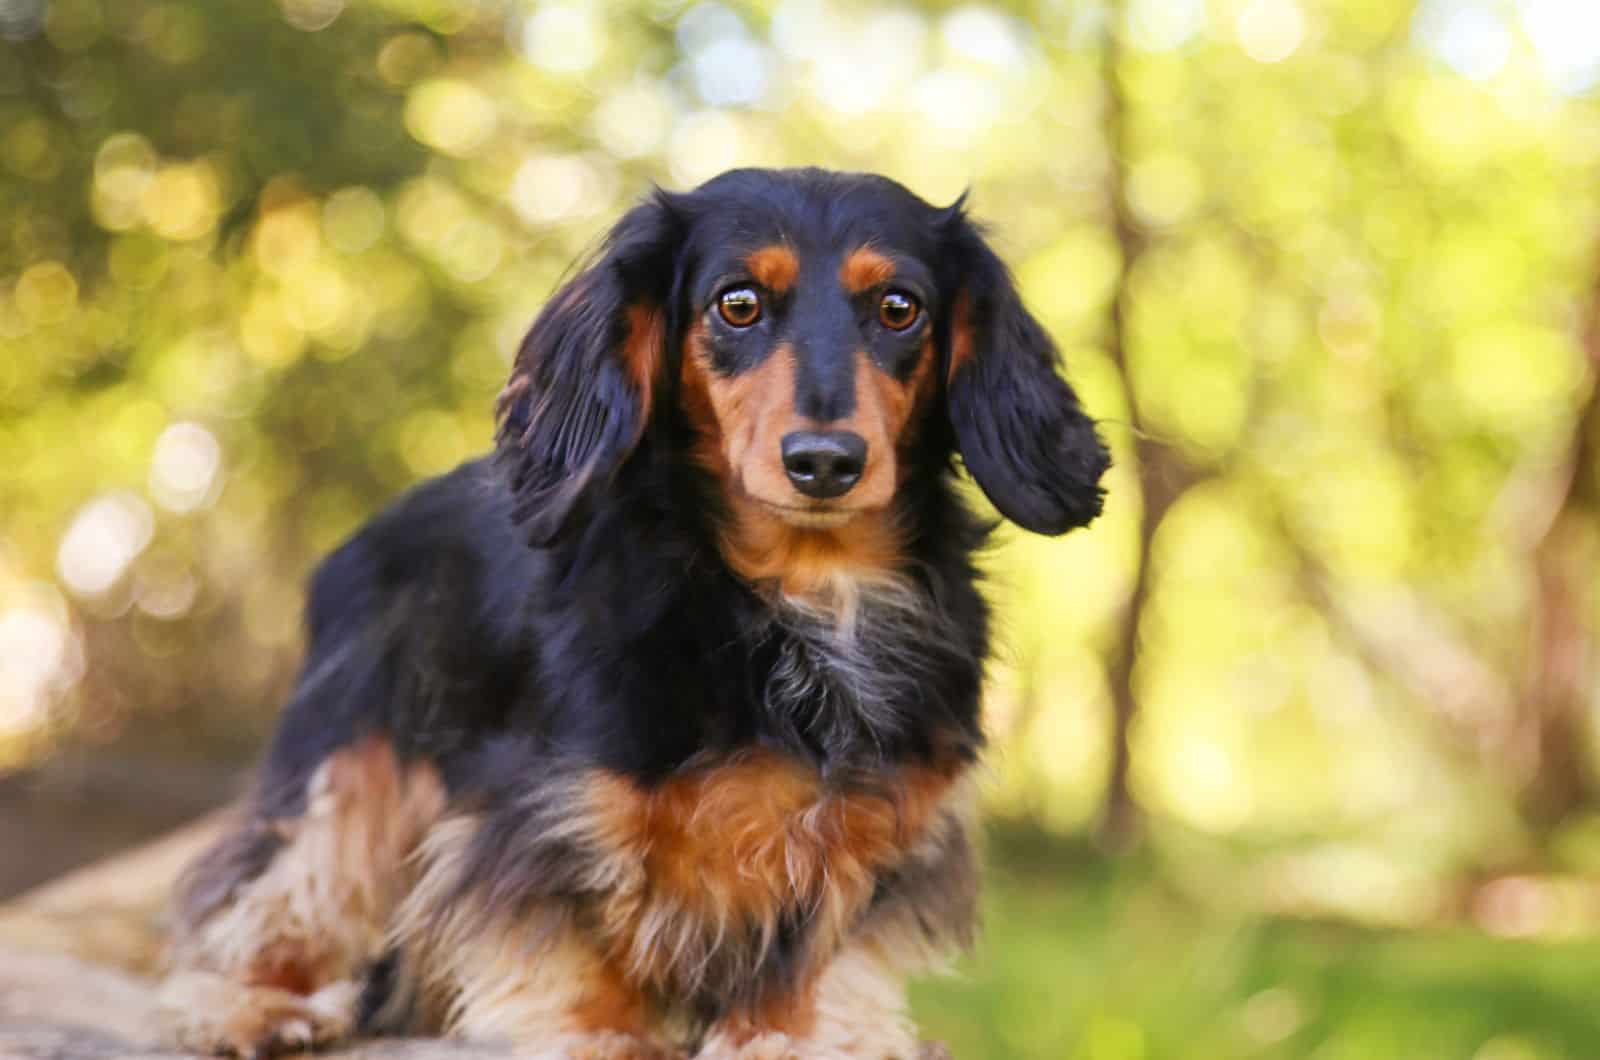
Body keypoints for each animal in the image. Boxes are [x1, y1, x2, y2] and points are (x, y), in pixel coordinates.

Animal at [165, 168, 1113, 1060]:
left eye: (898, 308)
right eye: (738, 304)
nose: (825, 461)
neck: (804, 592)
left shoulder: (883, 820)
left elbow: (821, 946)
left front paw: (788, 1035)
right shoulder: (549, 806)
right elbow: (580, 931)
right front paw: (606, 1035)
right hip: (352, 766)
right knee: (277, 893)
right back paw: (260, 1004)